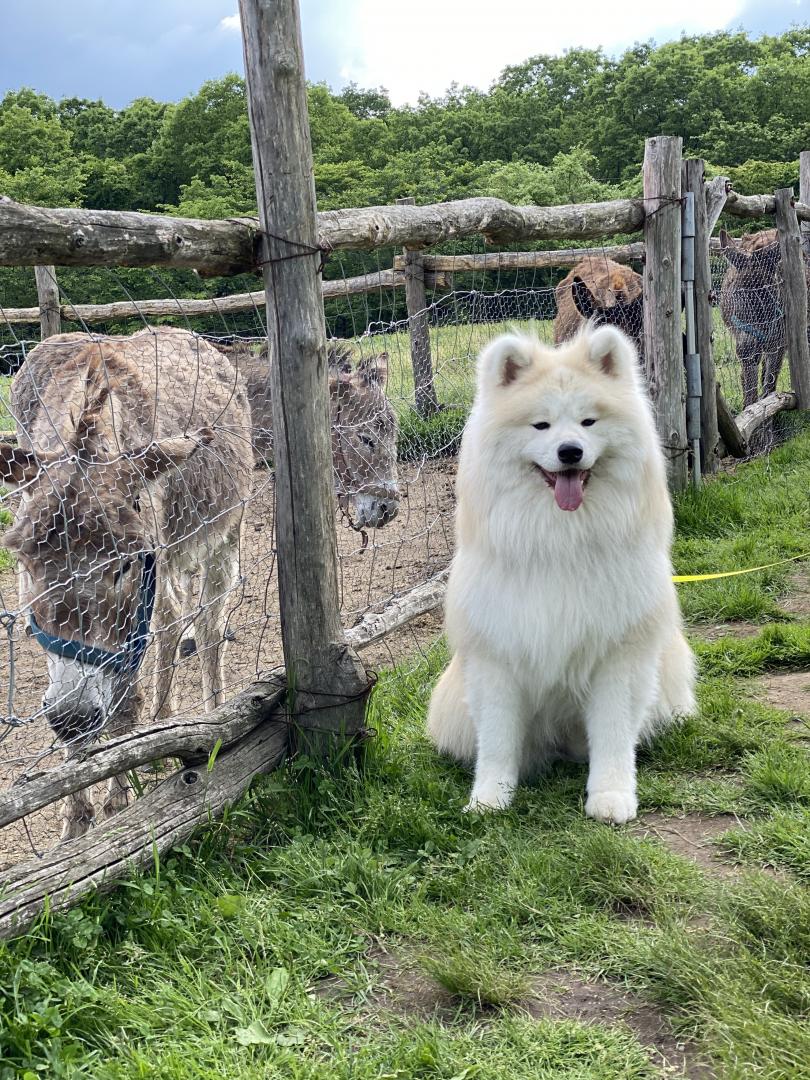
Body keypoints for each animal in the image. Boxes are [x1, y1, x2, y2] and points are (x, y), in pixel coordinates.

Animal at [425, 324, 699, 820]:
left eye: (589, 422)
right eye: (542, 425)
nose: (570, 451)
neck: (561, 541)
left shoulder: (618, 654)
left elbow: (612, 735)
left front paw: (610, 796)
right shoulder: (496, 656)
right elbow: (497, 741)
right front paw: (490, 799)